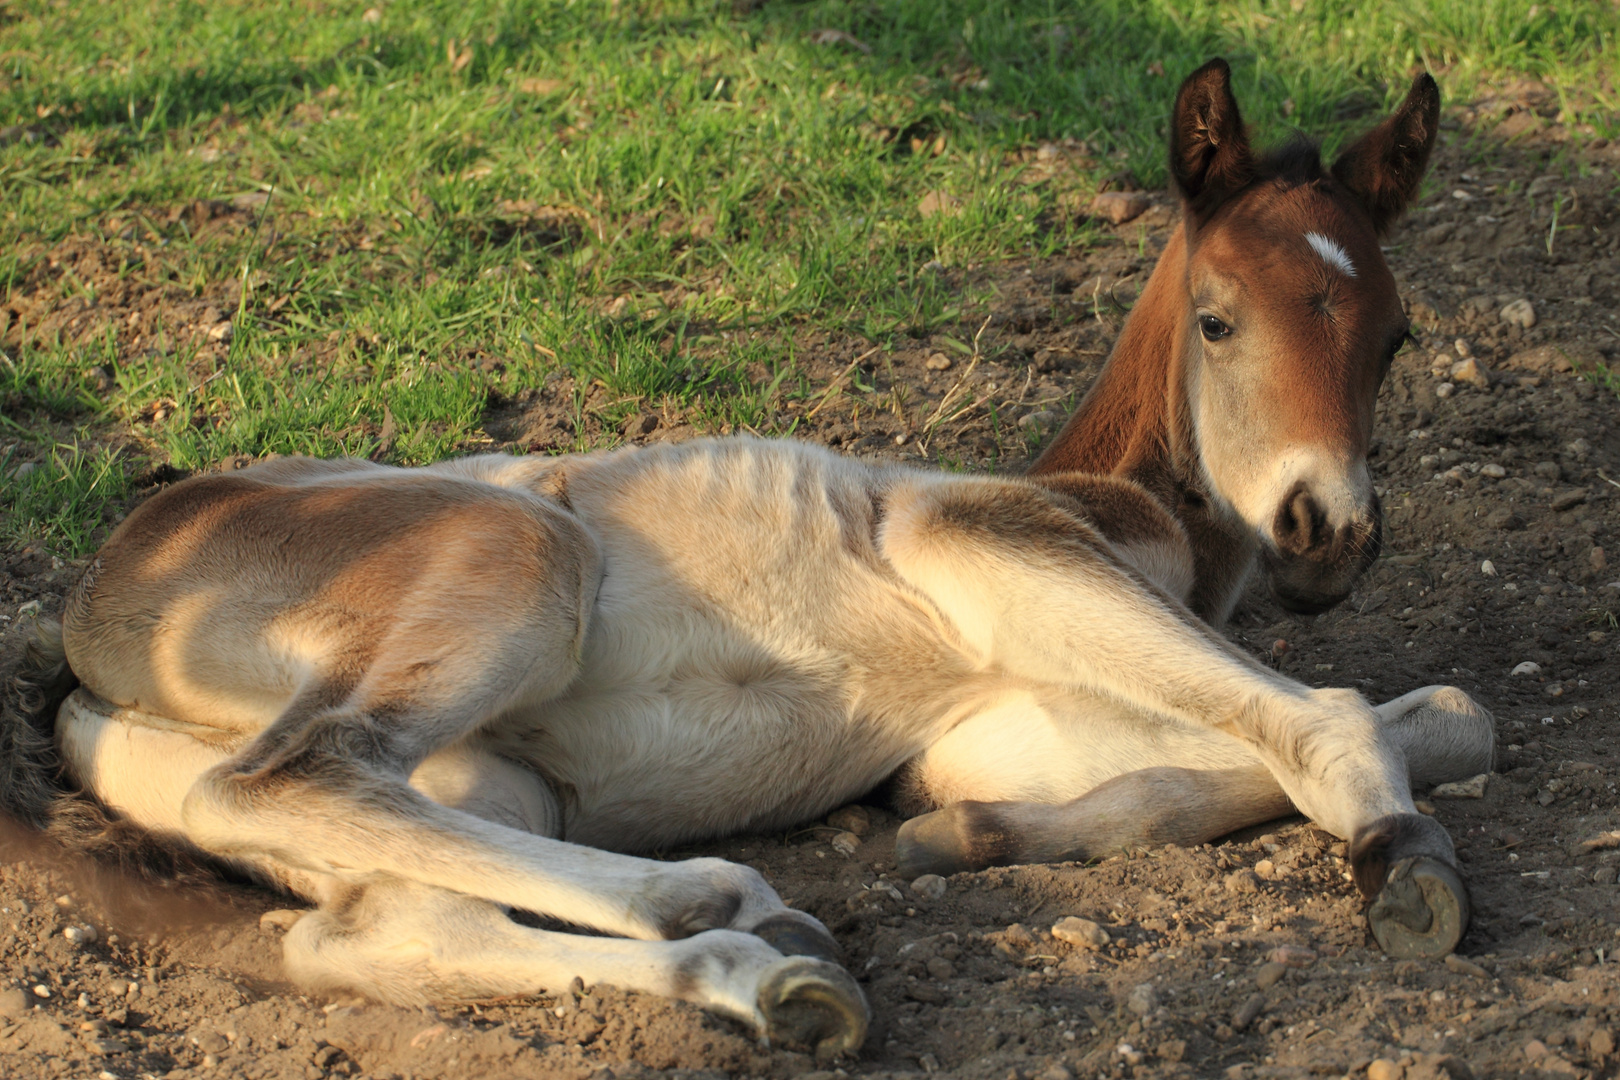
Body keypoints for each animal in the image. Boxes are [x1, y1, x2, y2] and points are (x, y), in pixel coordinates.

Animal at [3, 61, 1490, 1055]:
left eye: (1397, 336)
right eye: (1223, 319)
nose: (1328, 533)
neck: (1110, 495)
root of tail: (89, 637)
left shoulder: (1001, 726)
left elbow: (1421, 716)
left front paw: (966, 835)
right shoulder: (996, 545)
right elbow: (1360, 714)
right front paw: (1400, 857)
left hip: (476, 788)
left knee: (370, 918)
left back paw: (767, 976)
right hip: (512, 551)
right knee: (299, 773)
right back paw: (728, 901)